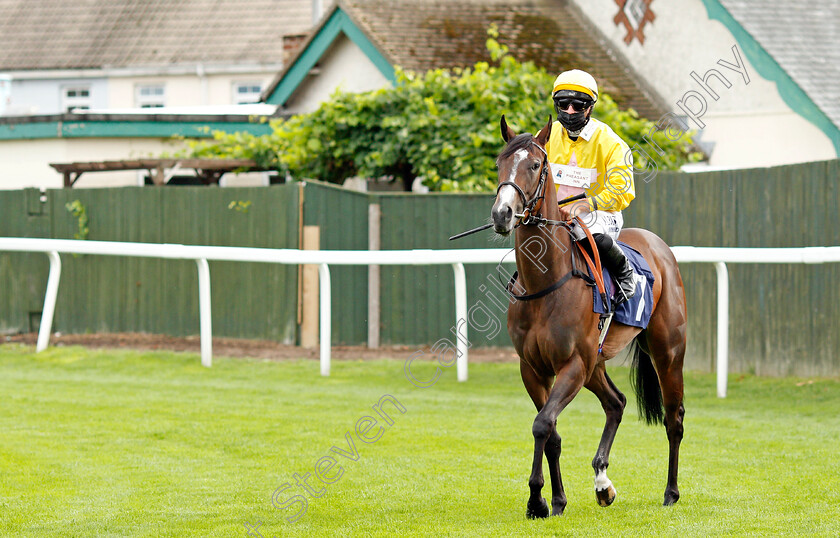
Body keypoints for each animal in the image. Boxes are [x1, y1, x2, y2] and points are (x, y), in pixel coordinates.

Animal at [488, 116, 684, 516]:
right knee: (616, 403)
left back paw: (670, 493)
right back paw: (603, 483)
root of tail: (658, 246)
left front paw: (536, 500)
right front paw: (556, 501)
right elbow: (551, 432)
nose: (502, 214)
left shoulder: (573, 364)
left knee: (673, 419)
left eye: (535, 164)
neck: (547, 284)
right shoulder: (533, 368)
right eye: (500, 163)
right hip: (596, 364)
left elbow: (542, 424)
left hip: (668, 352)